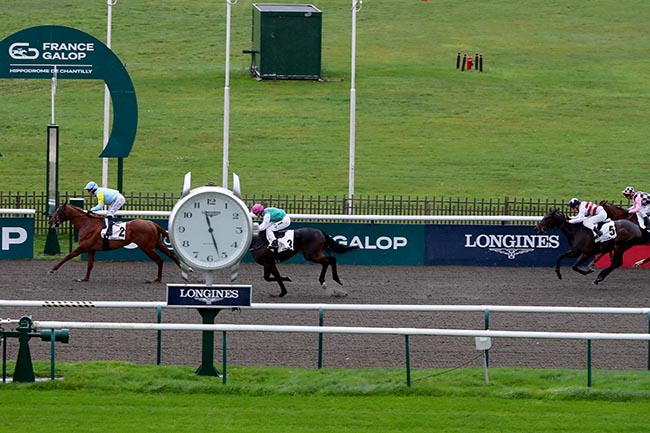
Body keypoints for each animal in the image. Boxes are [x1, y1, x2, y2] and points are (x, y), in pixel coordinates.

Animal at [48, 203, 181, 282]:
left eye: (58, 211)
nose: (50, 221)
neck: (87, 224)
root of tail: (152, 223)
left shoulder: (84, 246)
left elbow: (68, 256)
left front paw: (53, 269)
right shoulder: (91, 249)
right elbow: (90, 265)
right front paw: (85, 279)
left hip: (147, 247)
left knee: (159, 260)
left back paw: (157, 279)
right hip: (157, 244)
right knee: (171, 255)